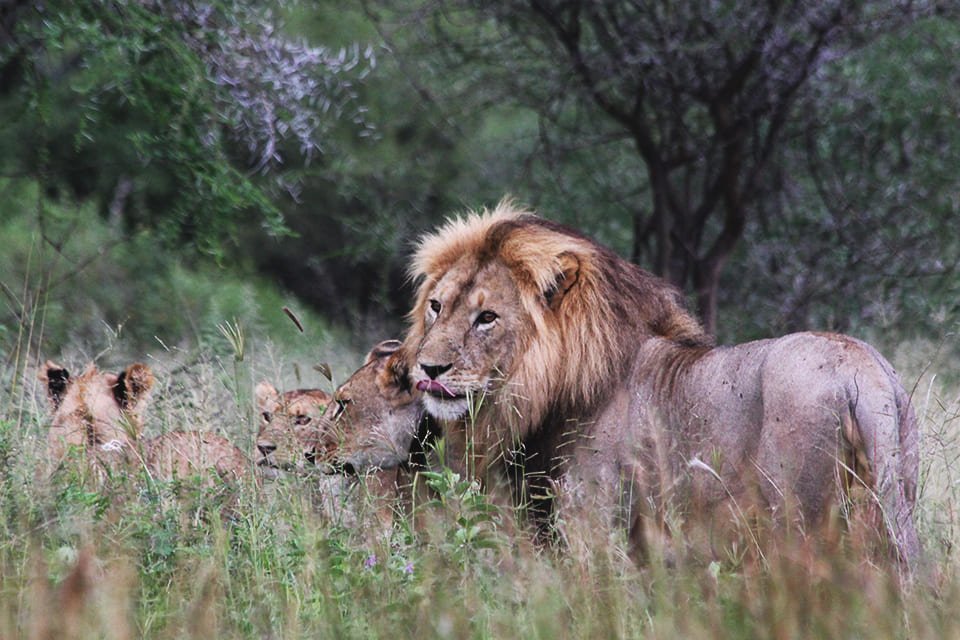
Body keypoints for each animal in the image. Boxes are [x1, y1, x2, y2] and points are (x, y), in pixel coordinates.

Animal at [400, 202, 924, 572]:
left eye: (487, 317)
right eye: (436, 306)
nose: (428, 367)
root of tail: (863, 370)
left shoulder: (593, 523)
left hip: (798, 522)